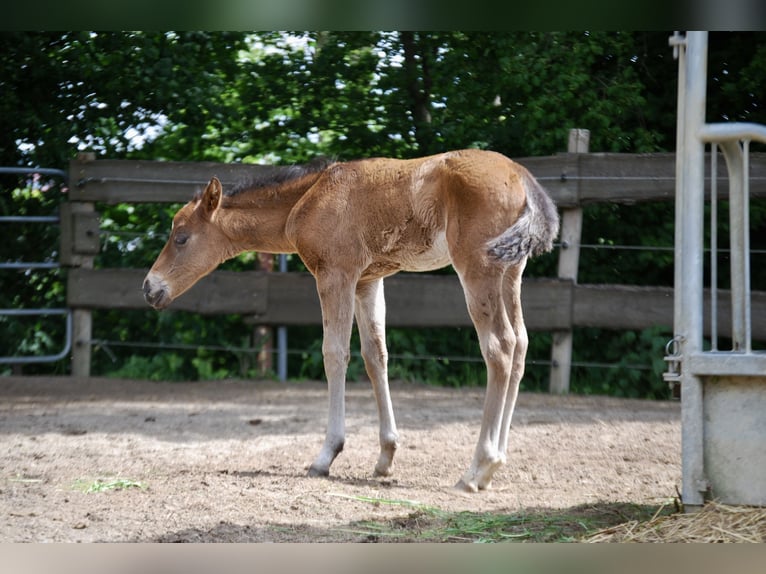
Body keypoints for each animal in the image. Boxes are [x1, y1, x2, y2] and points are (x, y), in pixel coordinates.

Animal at [143, 149, 560, 492]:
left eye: (181, 238)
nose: (149, 288)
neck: (309, 199)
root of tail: (523, 177)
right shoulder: (368, 281)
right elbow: (376, 356)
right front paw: (386, 456)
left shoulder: (335, 274)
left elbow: (335, 354)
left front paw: (326, 455)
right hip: (511, 272)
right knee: (520, 345)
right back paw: (495, 463)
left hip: (477, 269)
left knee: (499, 347)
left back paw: (478, 469)